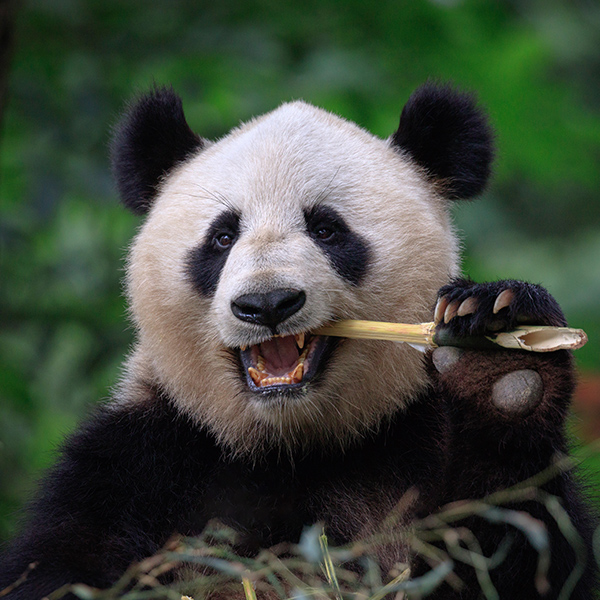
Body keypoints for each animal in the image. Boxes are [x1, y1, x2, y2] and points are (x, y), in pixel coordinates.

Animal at [0, 82, 596, 596]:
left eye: (326, 229)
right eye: (222, 237)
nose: (266, 304)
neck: (291, 447)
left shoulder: (414, 445)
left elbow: (521, 553)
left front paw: (500, 363)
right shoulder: (138, 463)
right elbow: (62, 568)